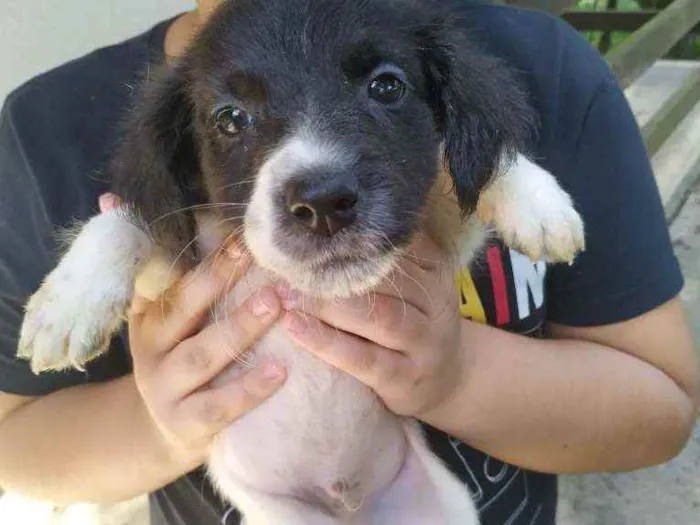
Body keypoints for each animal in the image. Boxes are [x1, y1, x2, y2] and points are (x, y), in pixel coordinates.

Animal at [17, 2, 584, 520]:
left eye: (387, 86)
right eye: (230, 119)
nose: (323, 204)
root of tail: (347, 501)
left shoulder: (437, 237)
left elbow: (456, 166)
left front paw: (538, 202)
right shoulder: (172, 270)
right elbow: (124, 220)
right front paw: (68, 306)